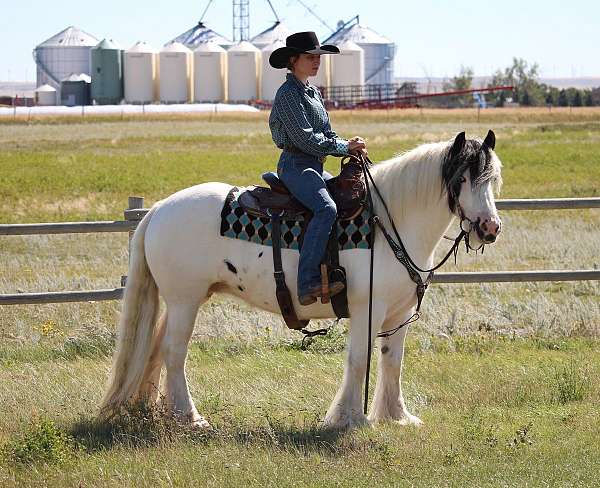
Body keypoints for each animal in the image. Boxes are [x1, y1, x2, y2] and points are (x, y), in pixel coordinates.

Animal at [102, 132, 502, 428]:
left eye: (493, 179)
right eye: (462, 178)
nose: (490, 227)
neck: (389, 222)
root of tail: (158, 209)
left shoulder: (398, 314)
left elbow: (392, 362)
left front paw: (396, 417)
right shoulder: (367, 309)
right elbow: (359, 359)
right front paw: (349, 419)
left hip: (180, 301)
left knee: (157, 349)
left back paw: (157, 409)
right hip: (184, 300)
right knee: (174, 351)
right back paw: (190, 417)